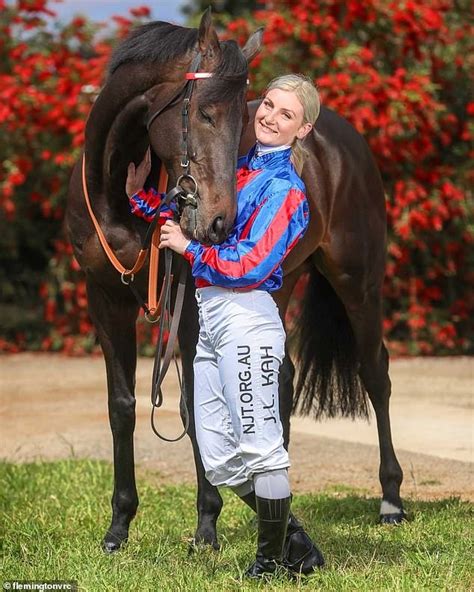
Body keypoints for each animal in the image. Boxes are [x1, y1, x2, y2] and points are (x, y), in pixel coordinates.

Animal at [67, 10, 404, 556]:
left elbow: (192, 408)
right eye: (204, 113)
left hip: (359, 281)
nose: (219, 222)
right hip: (277, 283)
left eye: (240, 121)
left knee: (375, 372)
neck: (117, 193)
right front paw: (118, 528)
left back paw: (391, 501)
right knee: (283, 377)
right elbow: (122, 407)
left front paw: (207, 526)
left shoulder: (189, 305)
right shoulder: (105, 297)